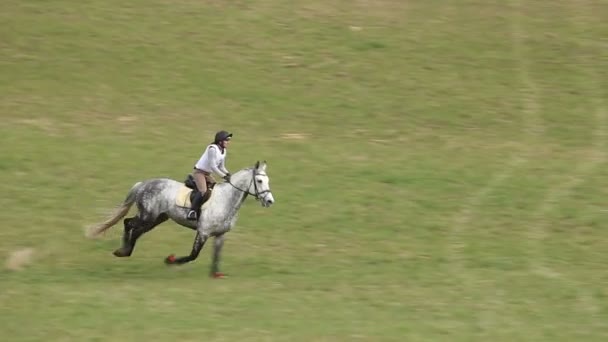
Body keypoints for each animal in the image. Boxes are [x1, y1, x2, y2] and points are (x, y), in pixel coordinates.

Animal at [87, 161, 274, 278]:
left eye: (268, 180)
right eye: (259, 180)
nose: (270, 201)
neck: (226, 199)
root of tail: (143, 184)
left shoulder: (220, 235)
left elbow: (217, 255)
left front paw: (215, 274)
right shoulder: (203, 232)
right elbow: (193, 255)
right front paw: (170, 260)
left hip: (157, 219)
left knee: (136, 229)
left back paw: (125, 250)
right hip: (148, 216)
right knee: (128, 223)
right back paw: (122, 251)